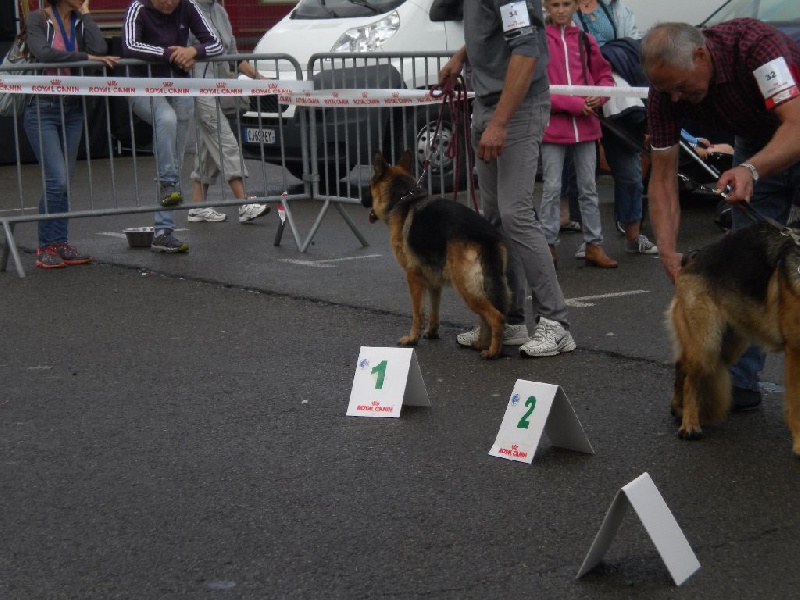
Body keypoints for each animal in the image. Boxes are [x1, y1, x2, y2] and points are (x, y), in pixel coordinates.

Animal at [362, 150, 512, 358]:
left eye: (369, 186)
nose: (361, 199)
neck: (403, 198)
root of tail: (486, 235)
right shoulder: (433, 280)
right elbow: (434, 309)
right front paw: (432, 332)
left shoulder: (413, 277)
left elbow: (418, 312)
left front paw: (412, 338)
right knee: (489, 315)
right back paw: (481, 343)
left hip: (465, 286)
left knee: (496, 316)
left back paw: (492, 352)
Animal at [664, 220, 800, 454]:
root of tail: (694, 257)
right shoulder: (795, 351)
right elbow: (797, 405)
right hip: (707, 345)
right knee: (691, 378)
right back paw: (690, 424)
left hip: (729, 346)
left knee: (681, 363)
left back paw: (678, 408)